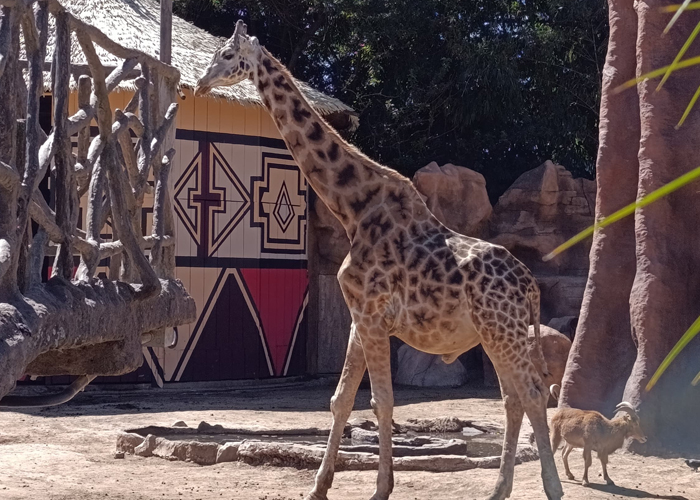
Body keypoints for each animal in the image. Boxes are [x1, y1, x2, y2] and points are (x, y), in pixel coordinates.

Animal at [196, 20, 564, 500]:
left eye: (226, 55)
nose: (201, 84)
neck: (352, 209)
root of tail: (530, 285)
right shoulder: (359, 317)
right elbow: (341, 399)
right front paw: (319, 487)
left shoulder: (372, 316)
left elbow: (381, 400)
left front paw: (381, 488)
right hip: (495, 333)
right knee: (513, 397)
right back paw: (498, 489)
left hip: (503, 331)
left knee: (534, 393)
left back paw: (552, 487)